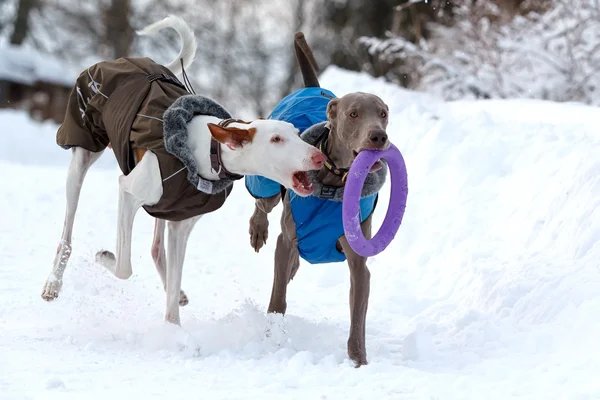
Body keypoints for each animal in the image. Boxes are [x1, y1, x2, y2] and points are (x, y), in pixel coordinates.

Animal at [246, 32, 392, 368]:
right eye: (353, 114)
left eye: (383, 113)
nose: (378, 136)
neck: (334, 182)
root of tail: (313, 87)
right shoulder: (286, 241)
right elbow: (278, 299)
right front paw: (273, 336)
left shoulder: (359, 262)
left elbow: (357, 314)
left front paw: (358, 360)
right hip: (269, 183)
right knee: (262, 203)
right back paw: (258, 230)